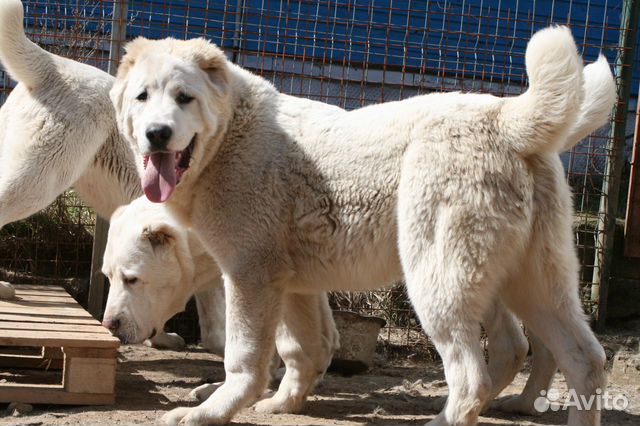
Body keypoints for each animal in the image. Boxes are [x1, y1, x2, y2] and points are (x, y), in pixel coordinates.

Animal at [109, 10, 616, 426]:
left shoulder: (249, 275)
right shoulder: (294, 285)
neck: (231, 134)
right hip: (533, 278)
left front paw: (209, 411)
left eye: (184, 98)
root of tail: (507, 119)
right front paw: (284, 403)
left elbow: (244, 357)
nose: (157, 134)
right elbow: (303, 349)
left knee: (473, 377)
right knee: (582, 360)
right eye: (142, 97)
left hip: (440, 281)